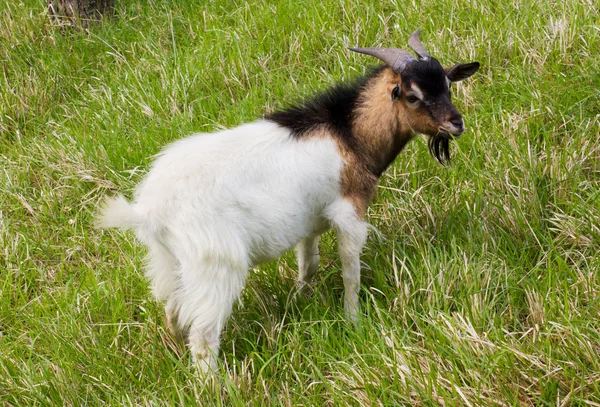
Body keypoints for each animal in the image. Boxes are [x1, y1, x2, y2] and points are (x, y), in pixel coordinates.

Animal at [99, 29, 482, 372]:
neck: (349, 135)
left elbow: (308, 264)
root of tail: (150, 210)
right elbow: (350, 270)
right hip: (216, 265)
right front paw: (353, 320)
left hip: (172, 262)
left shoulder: (311, 221)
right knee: (204, 337)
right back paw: (218, 386)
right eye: (412, 96)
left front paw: (301, 300)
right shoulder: (349, 213)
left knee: (173, 312)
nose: (456, 123)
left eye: (448, 86)